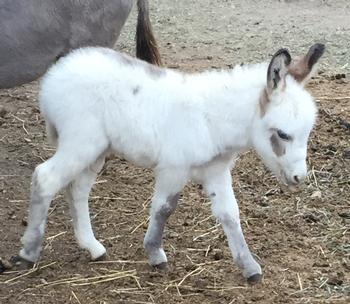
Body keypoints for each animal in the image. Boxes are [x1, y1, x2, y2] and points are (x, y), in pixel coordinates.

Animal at [17, 43, 324, 282]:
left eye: (307, 132)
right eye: (283, 134)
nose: (299, 178)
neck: (212, 117)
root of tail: (57, 73)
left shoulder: (216, 171)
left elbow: (230, 214)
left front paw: (249, 268)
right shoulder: (173, 168)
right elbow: (164, 209)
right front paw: (155, 254)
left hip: (96, 150)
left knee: (77, 190)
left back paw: (93, 247)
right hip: (81, 142)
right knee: (45, 178)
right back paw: (28, 252)